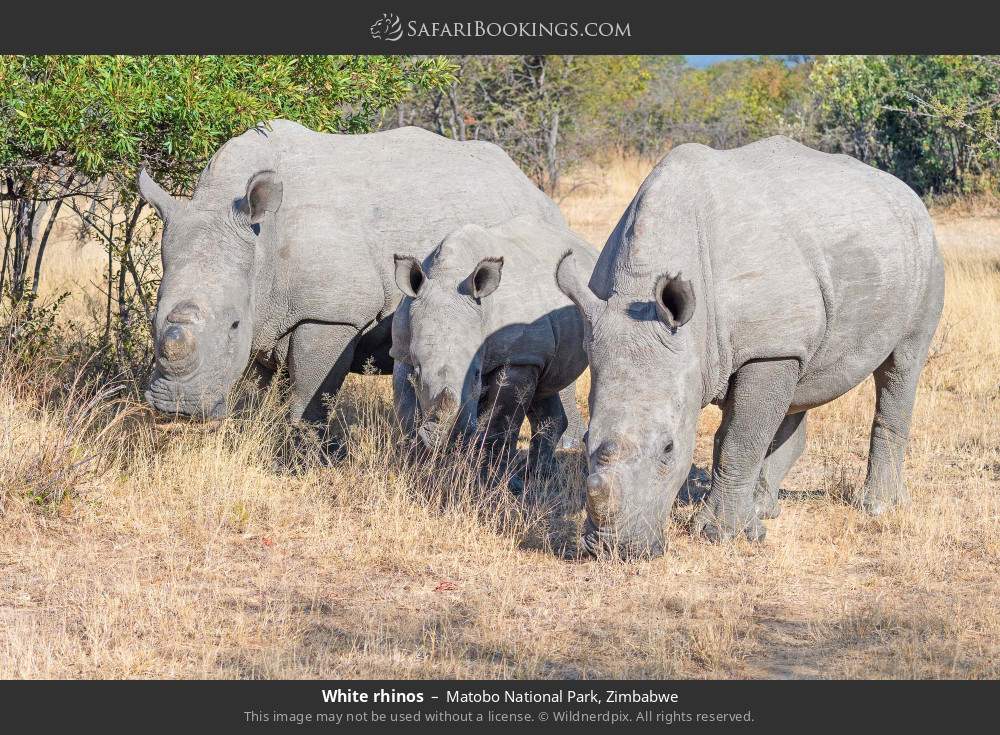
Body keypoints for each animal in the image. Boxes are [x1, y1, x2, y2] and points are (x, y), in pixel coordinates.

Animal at [137, 120, 567, 424]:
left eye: (234, 325)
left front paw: (310, 463)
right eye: (152, 321)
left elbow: (310, 398)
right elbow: (266, 394)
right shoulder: (269, 313)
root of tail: (531, 186)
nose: (177, 409)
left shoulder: (331, 314)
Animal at [391, 215, 598, 488]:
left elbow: (501, 425)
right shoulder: (402, 351)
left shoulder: (517, 357)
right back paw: (541, 476)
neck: (449, 276)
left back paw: (535, 478)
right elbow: (406, 416)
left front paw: (493, 484)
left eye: (477, 374)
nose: (447, 437)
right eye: (417, 371)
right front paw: (416, 471)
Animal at [556, 136, 944, 557]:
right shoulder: (759, 342)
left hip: (925, 252)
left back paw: (877, 507)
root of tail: (907, 192)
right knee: (801, 384)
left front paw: (721, 534)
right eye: (586, 441)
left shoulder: (768, 348)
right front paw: (745, 526)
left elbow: (738, 440)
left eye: (669, 450)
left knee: (902, 365)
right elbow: (747, 430)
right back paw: (765, 509)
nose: (615, 550)